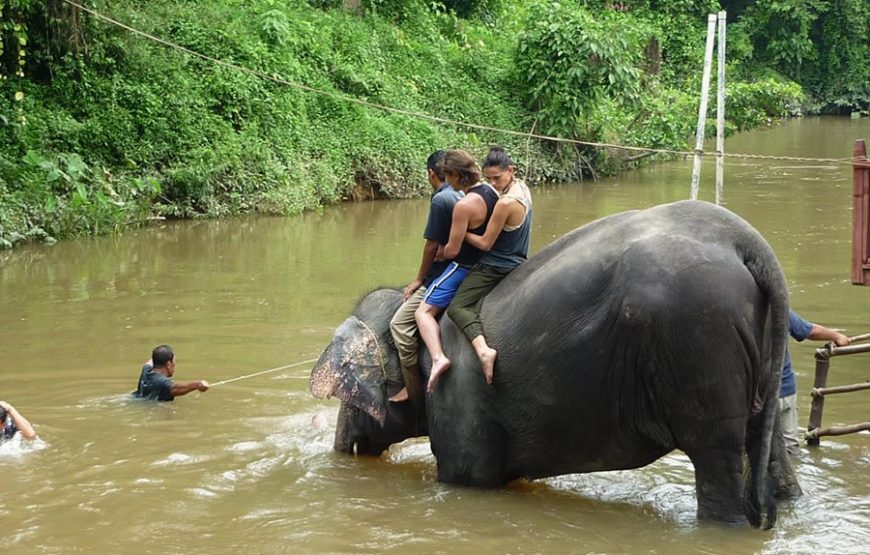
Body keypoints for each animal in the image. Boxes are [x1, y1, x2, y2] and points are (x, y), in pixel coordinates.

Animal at [312, 201, 804, 528]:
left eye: (350, 397)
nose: (350, 450)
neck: (411, 306)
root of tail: (745, 242)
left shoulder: (460, 394)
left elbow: (468, 478)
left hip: (699, 340)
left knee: (716, 455)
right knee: (764, 441)